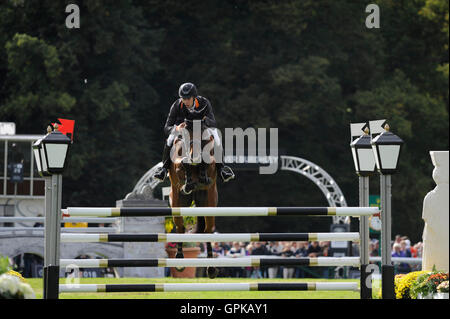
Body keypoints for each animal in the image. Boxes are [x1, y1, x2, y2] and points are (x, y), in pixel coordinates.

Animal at [168, 120, 219, 280]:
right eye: (186, 135)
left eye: (202, 136)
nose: (194, 156)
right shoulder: (177, 165)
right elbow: (182, 163)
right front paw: (189, 182)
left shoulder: (211, 162)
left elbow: (207, 164)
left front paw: (202, 176)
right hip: (177, 203)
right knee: (180, 228)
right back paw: (179, 260)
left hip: (208, 204)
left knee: (208, 230)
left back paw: (211, 268)